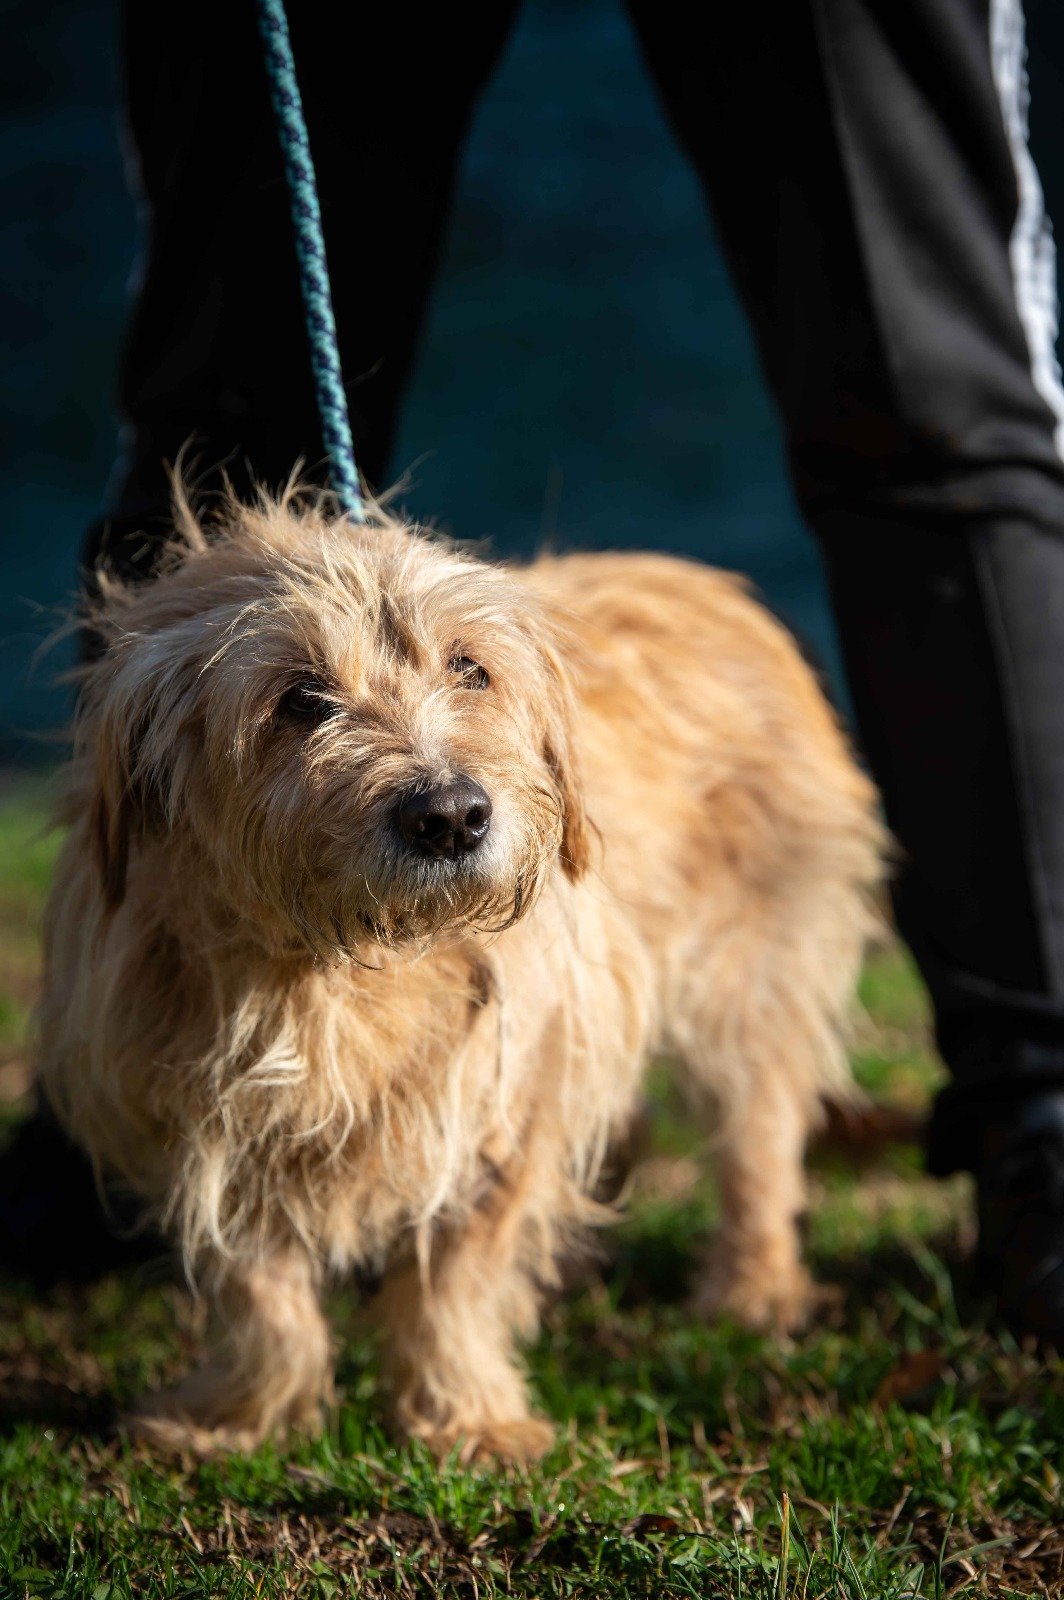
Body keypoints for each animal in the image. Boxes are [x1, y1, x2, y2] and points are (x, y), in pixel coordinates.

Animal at [37, 486, 885, 1463]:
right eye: (301, 698)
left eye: (471, 669)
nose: (450, 815)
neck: (335, 971)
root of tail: (716, 586)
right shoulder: (200, 1121)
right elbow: (258, 1292)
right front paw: (242, 1416)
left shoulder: (508, 1098)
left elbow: (458, 1278)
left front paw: (466, 1416)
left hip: (747, 980)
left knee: (760, 1137)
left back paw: (753, 1289)